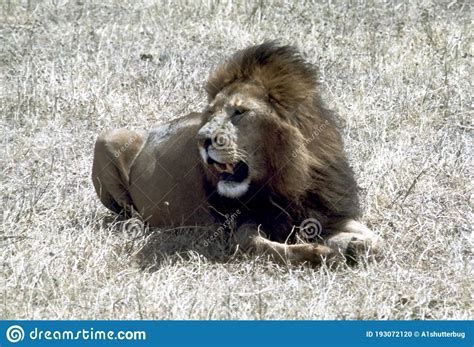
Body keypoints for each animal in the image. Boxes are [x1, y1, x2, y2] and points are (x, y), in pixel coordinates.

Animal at [91, 42, 382, 266]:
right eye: (211, 112)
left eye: (239, 112)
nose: (202, 139)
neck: (287, 178)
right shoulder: (238, 228)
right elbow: (268, 247)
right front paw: (320, 254)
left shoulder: (328, 211)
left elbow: (375, 240)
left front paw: (357, 245)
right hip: (108, 138)